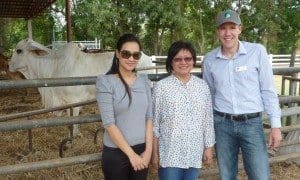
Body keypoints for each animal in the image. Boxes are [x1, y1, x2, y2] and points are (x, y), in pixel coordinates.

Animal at [9, 38, 155, 136]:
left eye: (19, 50)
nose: (9, 65)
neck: (54, 66)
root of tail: (148, 59)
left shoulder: (73, 101)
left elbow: (73, 120)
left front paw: (73, 137)